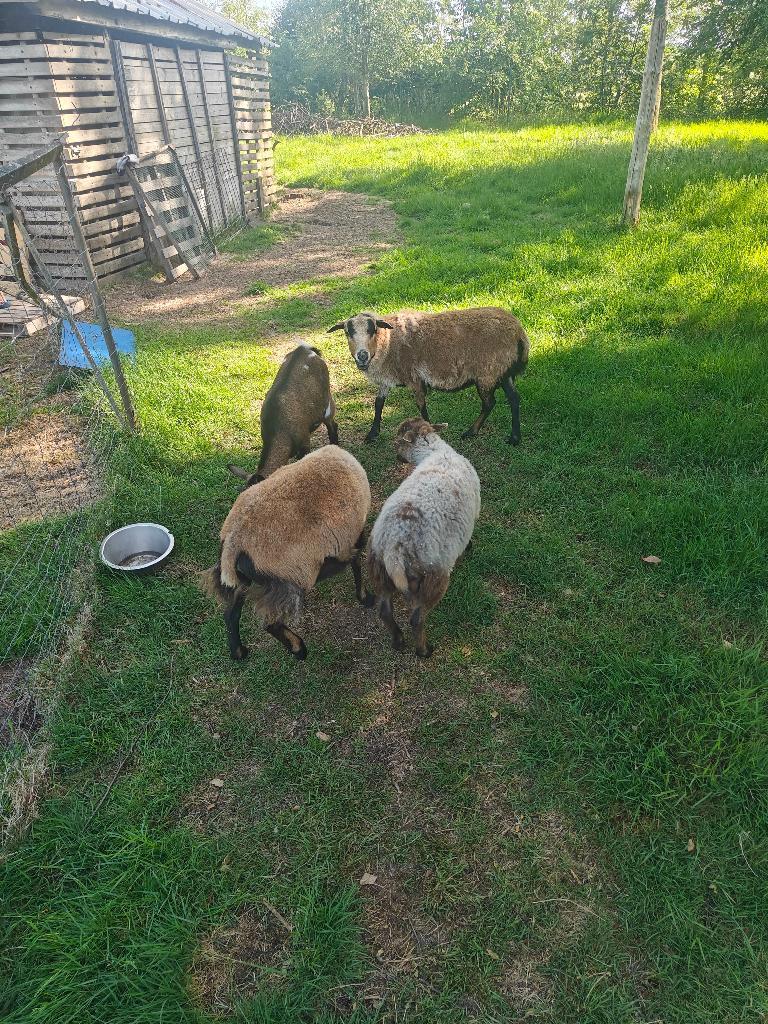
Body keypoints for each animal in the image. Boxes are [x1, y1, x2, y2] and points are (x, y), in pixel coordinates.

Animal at [201, 446, 372, 661]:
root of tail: (234, 541)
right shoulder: (354, 537)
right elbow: (357, 563)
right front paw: (365, 598)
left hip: (243, 580)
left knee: (230, 614)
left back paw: (239, 652)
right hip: (290, 578)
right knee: (269, 622)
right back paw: (299, 649)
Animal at [328, 308, 529, 446]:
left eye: (373, 329)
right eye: (347, 332)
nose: (362, 356)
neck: (388, 343)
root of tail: (519, 332)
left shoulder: (415, 377)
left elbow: (421, 406)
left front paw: (430, 430)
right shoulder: (387, 379)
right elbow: (378, 404)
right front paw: (372, 433)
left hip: (487, 373)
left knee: (489, 403)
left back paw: (471, 432)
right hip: (503, 372)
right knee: (514, 399)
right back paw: (515, 437)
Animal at [367, 418, 481, 658]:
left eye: (398, 441)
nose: (397, 457)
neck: (435, 453)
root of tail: (394, 547)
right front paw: (469, 548)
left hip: (378, 568)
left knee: (384, 611)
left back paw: (398, 641)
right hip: (433, 574)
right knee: (417, 619)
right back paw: (423, 650)